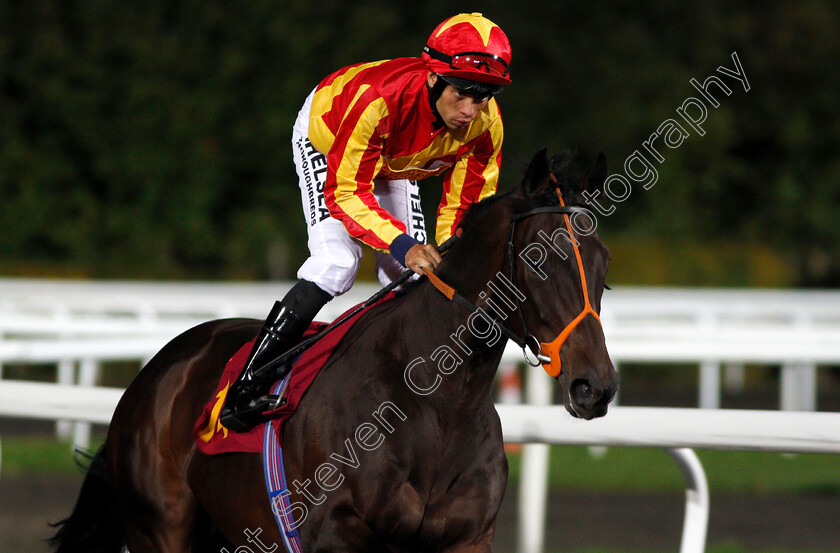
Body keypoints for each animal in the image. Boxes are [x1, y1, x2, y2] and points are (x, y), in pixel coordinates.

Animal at [50, 149, 616, 552]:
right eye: (543, 260)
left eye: (604, 266)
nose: (597, 386)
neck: (435, 402)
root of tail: (154, 374)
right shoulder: (336, 533)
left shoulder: (468, 537)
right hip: (161, 528)